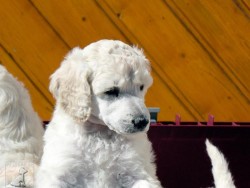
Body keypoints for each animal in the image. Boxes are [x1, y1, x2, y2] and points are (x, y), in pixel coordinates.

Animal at [36, 39, 162, 188]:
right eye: (111, 91)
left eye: (141, 87)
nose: (141, 122)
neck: (101, 133)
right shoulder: (59, 170)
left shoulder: (138, 171)